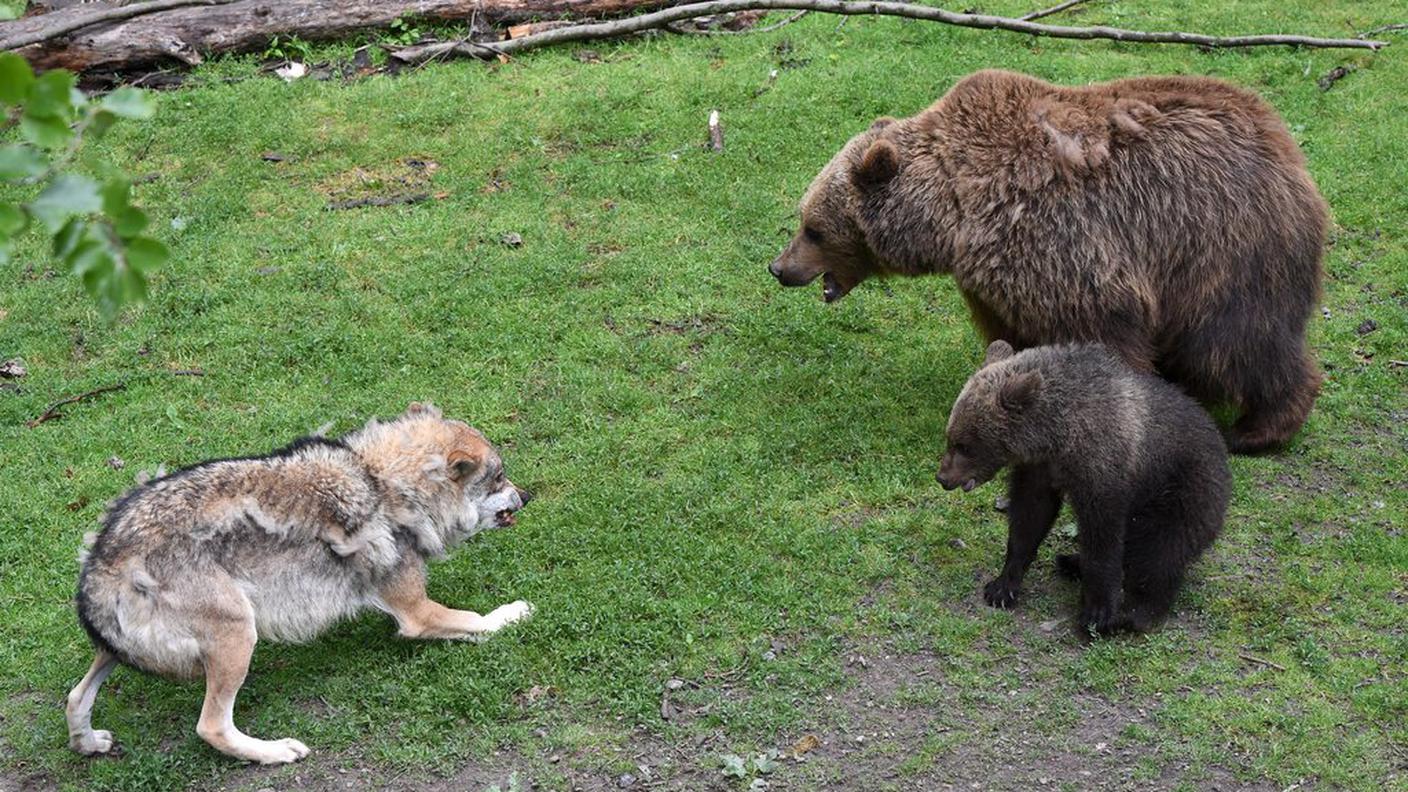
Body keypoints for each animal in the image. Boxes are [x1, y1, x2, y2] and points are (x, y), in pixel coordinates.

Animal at [771, 70, 1329, 453]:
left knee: (1235, 338)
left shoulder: (1055, 240)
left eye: (814, 227)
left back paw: (1259, 427)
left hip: (1218, 243)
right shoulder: (994, 280)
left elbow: (1101, 328)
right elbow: (1014, 334)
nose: (779, 268)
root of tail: (1286, 147)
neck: (954, 217)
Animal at [940, 335, 1227, 631]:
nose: (943, 478)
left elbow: (1102, 538)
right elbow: (1029, 519)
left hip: (1181, 492)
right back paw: (1070, 561)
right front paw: (1002, 586)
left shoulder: (1103, 469)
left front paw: (1098, 611)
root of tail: (1220, 444)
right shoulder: (1040, 470)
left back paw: (1131, 613)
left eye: (965, 446)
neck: (1058, 436)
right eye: (950, 437)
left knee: (1159, 554)